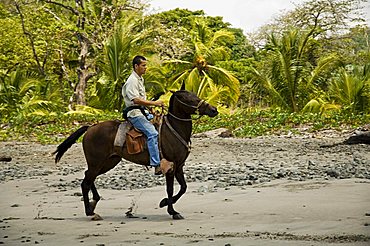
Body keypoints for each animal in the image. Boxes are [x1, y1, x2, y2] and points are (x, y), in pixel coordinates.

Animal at [53, 90, 218, 219]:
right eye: (189, 99)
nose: (214, 109)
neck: (174, 129)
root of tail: (90, 128)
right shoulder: (170, 166)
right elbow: (171, 189)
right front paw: (172, 211)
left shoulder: (179, 165)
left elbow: (183, 187)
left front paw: (165, 202)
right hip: (97, 162)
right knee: (86, 182)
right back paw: (90, 212)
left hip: (108, 162)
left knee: (88, 177)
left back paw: (94, 203)